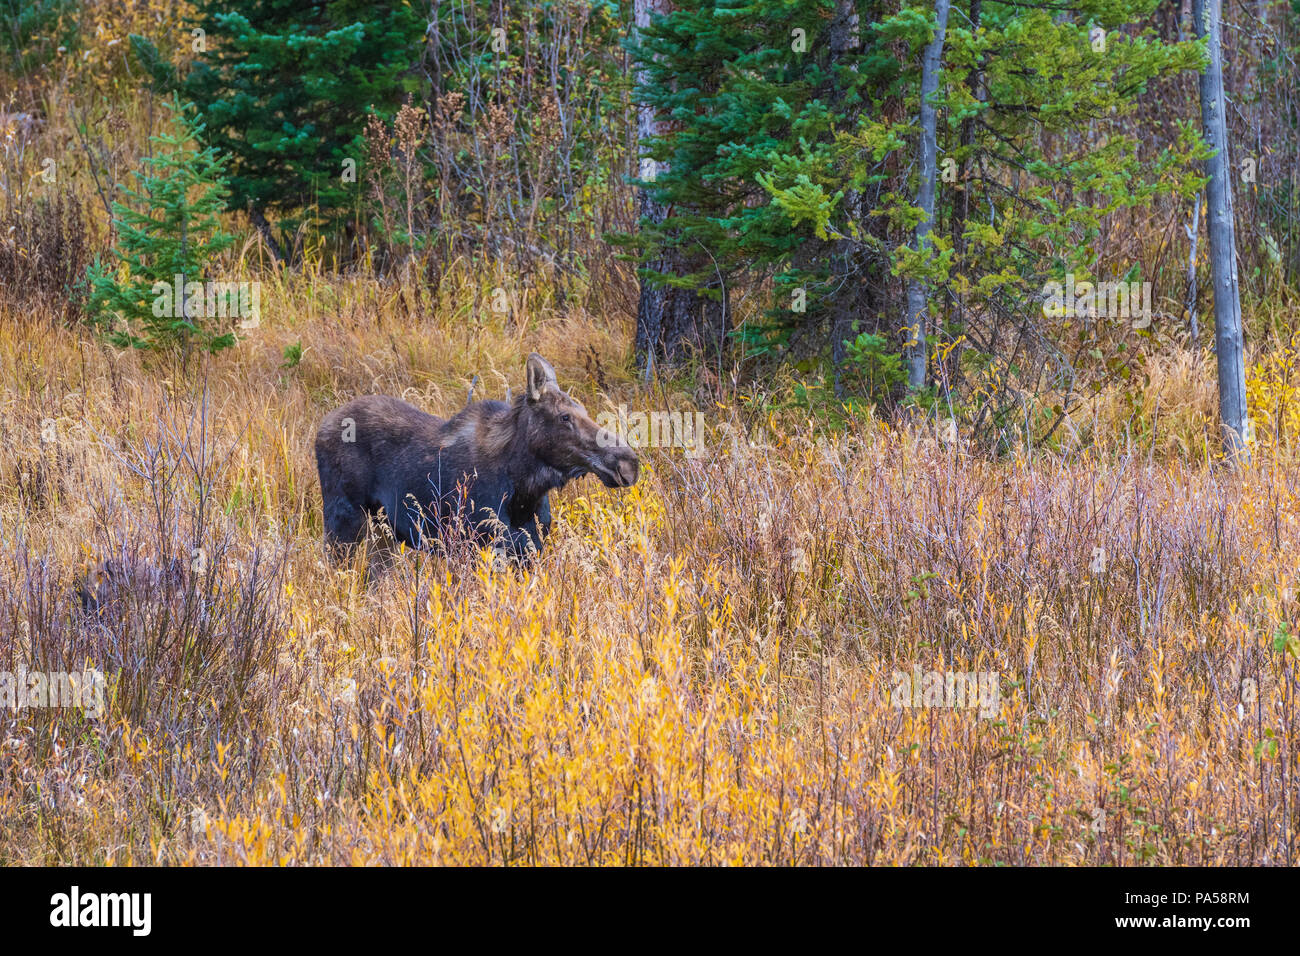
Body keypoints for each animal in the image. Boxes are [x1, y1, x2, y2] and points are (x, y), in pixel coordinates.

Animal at [314, 353, 639, 561]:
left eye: (583, 410)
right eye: (564, 417)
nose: (627, 462)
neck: (524, 489)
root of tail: (322, 425)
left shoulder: (528, 550)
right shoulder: (475, 546)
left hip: (381, 532)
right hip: (343, 521)